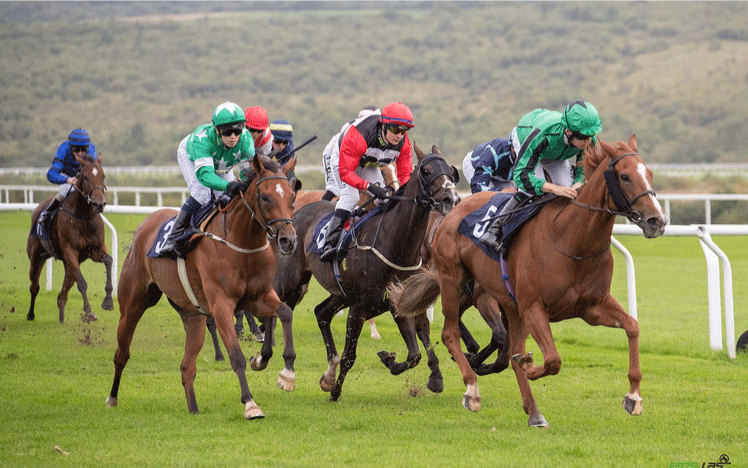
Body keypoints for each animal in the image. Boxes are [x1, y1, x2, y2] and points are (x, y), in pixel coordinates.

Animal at [26, 153, 112, 322]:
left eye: (103, 175)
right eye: (85, 177)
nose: (99, 204)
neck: (83, 217)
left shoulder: (95, 249)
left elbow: (109, 260)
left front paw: (108, 301)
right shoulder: (70, 251)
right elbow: (82, 283)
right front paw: (88, 311)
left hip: (68, 265)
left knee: (63, 293)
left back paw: (61, 318)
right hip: (36, 257)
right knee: (35, 286)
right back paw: (31, 314)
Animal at [107, 155, 298, 418]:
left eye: (292, 196)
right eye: (266, 197)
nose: (288, 240)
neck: (241, 243)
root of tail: (146, 224)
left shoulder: (258, 297)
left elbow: (285, 313)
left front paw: (285, 373)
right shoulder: (221, 305)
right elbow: (236, 355)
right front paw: (250, 404)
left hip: (192, 316)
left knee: (187, 367)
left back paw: (194, 409)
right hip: (133, 304)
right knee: (122, 353)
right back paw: (112, 398)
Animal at [274, 144, 462, 400]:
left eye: (451, 171)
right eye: (426, 170)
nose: (450, 198)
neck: (394, 244)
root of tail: (296, 213)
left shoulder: (398, 301)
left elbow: (414, 355)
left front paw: (390, 360)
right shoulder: (359, 307)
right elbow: (350, 356)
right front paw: (336, 392)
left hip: (341, 293)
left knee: (321, 312)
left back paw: (327, 373)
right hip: (291, 283)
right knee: (280, 309)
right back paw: (277, 367)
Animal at [392, 135, 668, 428]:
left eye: (650, 174)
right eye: (625, 176)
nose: (657, 221)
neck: (571, 240)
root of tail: (453, 210)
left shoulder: (592, 307)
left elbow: (632, 327)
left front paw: (634, 397)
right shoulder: (534, 307)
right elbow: (552, 360)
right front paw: (524, 365)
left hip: (507, 305)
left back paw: (533, 412)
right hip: (454, 280)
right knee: (449, 333)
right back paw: (472, 390)